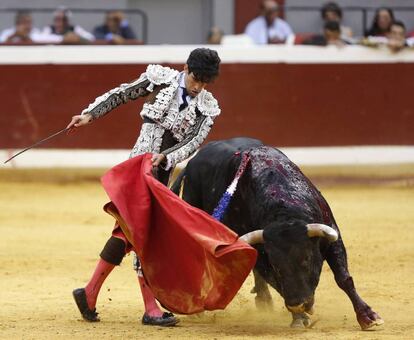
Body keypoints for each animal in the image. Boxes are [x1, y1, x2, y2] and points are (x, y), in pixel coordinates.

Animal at [170, 137, 384, 330]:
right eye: (276, 265)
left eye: (307, 259)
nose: (298, 304)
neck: (284, 208)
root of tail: (191, 164)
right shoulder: (263, 256)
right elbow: (276, 282)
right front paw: (299, 318)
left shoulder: (332, 238)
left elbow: (343, 279)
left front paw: (368, 317)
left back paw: (264, 300)